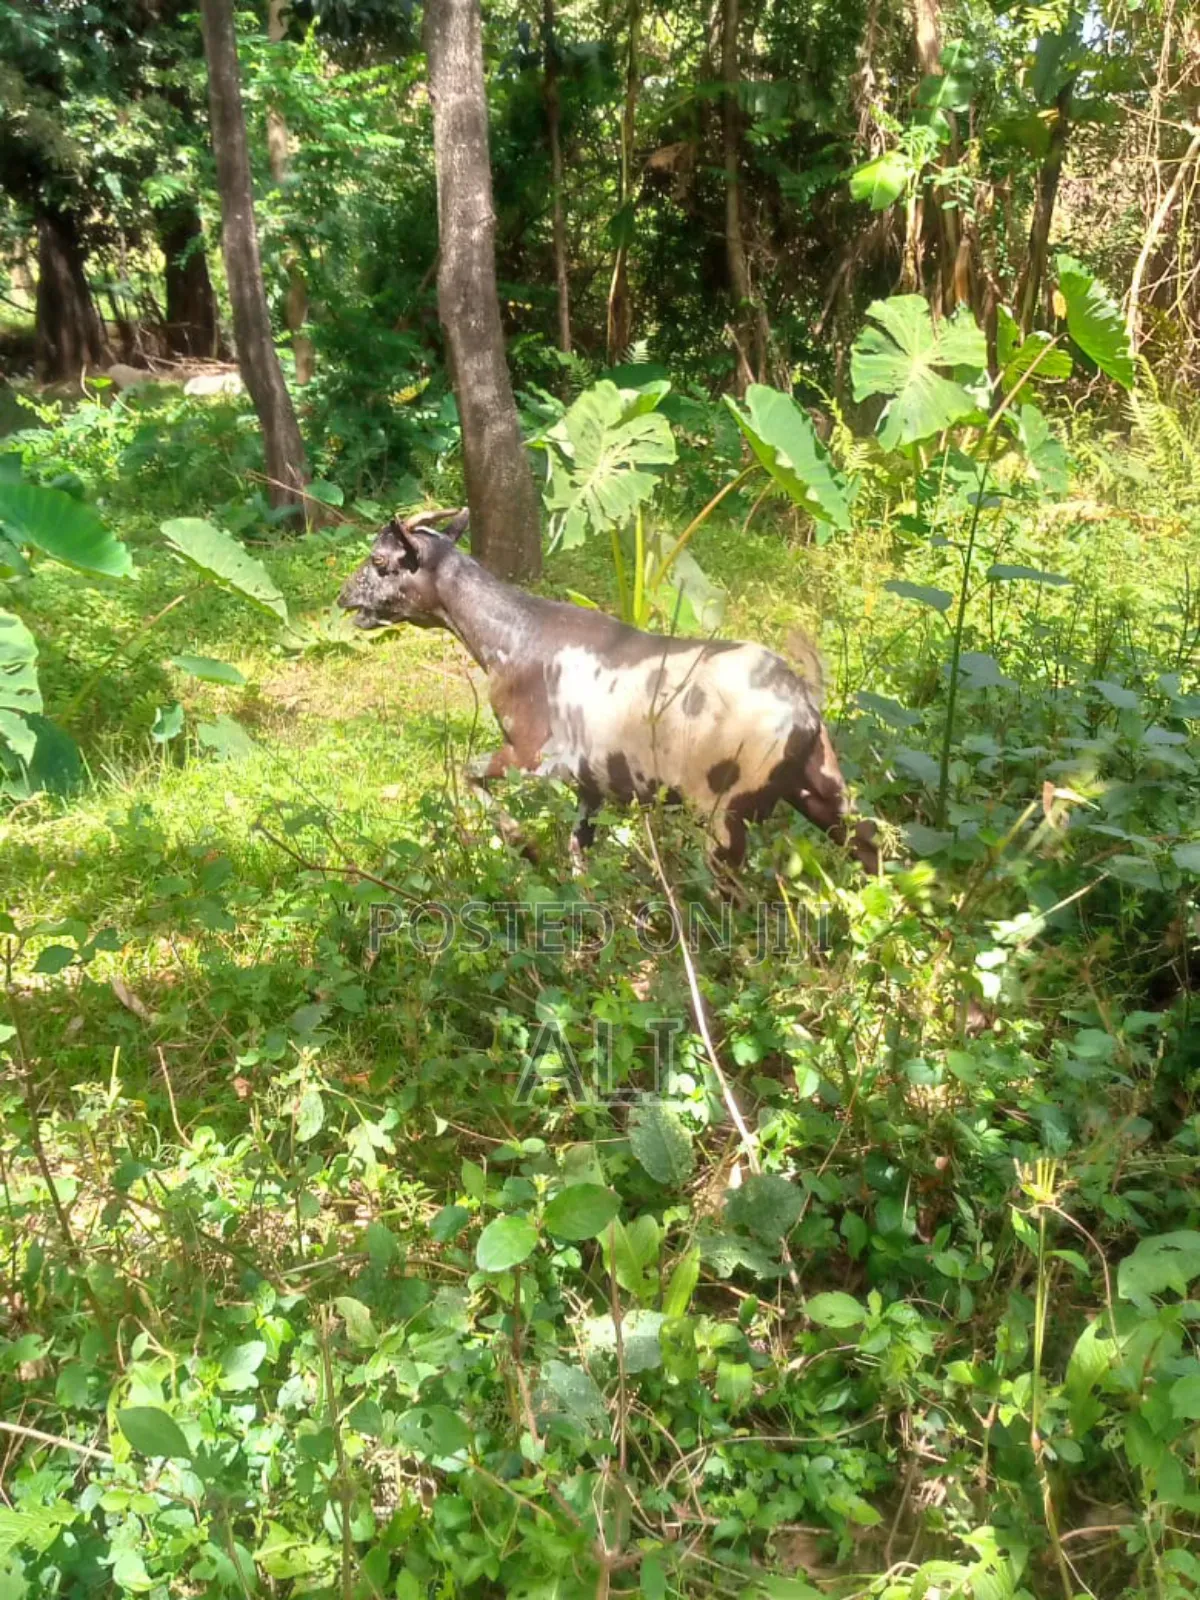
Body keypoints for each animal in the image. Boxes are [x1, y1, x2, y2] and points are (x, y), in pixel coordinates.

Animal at [338, 509, 879, 874]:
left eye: (379, 560)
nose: (343, 597)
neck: (515, 636)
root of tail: (803, 703)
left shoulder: (534, 756)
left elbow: (466, 772)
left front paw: (525, 846)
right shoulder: (591, 786)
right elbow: (580, 854)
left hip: (723, 813)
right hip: (820, 789)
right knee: (870, 845)